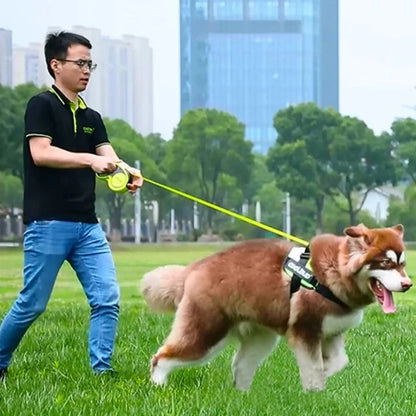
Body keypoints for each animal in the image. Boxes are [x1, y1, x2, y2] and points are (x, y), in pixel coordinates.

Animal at [141, 224, 412, 390]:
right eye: (386, 263)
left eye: (402, 264)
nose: (408, 284)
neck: (330, 274)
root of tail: (194, 267)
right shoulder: (305, 330)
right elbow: (314, 366)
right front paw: (314, 390)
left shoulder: (331, 333)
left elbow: (339, 362)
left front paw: (324, 376)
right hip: (206, 333)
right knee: (161, 357)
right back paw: (159, 386)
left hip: (259, 339)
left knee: (240, 366)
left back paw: (243, 396)